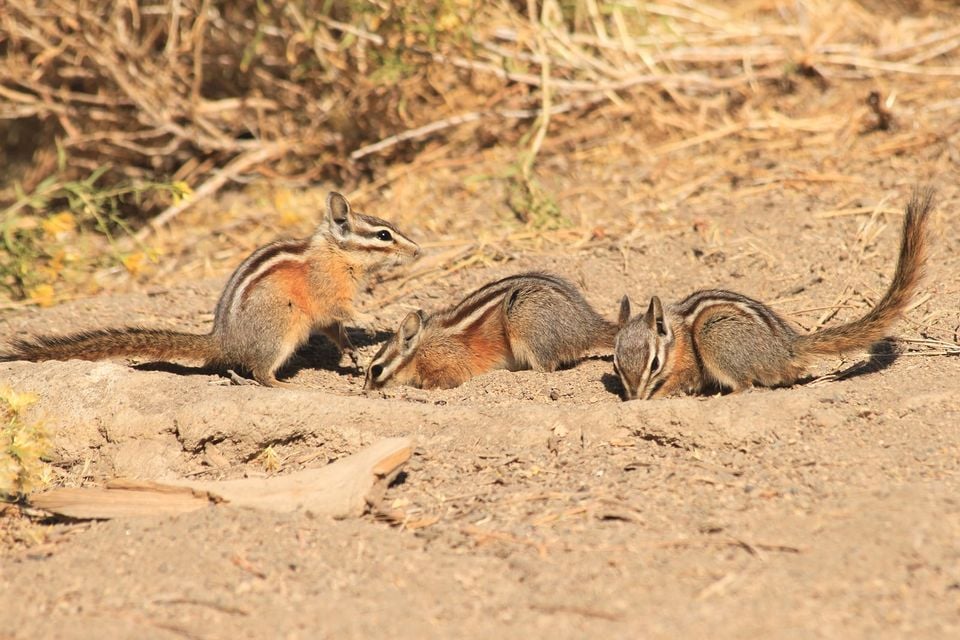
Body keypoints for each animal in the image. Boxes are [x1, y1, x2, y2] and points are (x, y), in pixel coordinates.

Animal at [1, 192, 420, 387]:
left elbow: (335, 330)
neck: (335, 252)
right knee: (259, 373)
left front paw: (351, 351)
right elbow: (344, 312)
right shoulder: (329, 292)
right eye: (384, 236)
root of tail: (223, 342)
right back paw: (282, 384)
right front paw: (373, 317)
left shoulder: (327, 312)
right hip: (279, 333)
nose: (418, 250)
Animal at [364, 271, 620, 390]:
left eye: (376, 370)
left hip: (521, 316)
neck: (420, 350)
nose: (365, 391)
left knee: (546, 367)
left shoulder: (448, 364)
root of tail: (586, 326)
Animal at [613, 187, 935, 400]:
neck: (677, 336)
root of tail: (786, 349)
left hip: (713, 333)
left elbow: (678, 382)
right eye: (615, 365)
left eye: (654, 364)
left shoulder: (689, 365)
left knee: (746, 384)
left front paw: (654, 398)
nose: (634, 398)